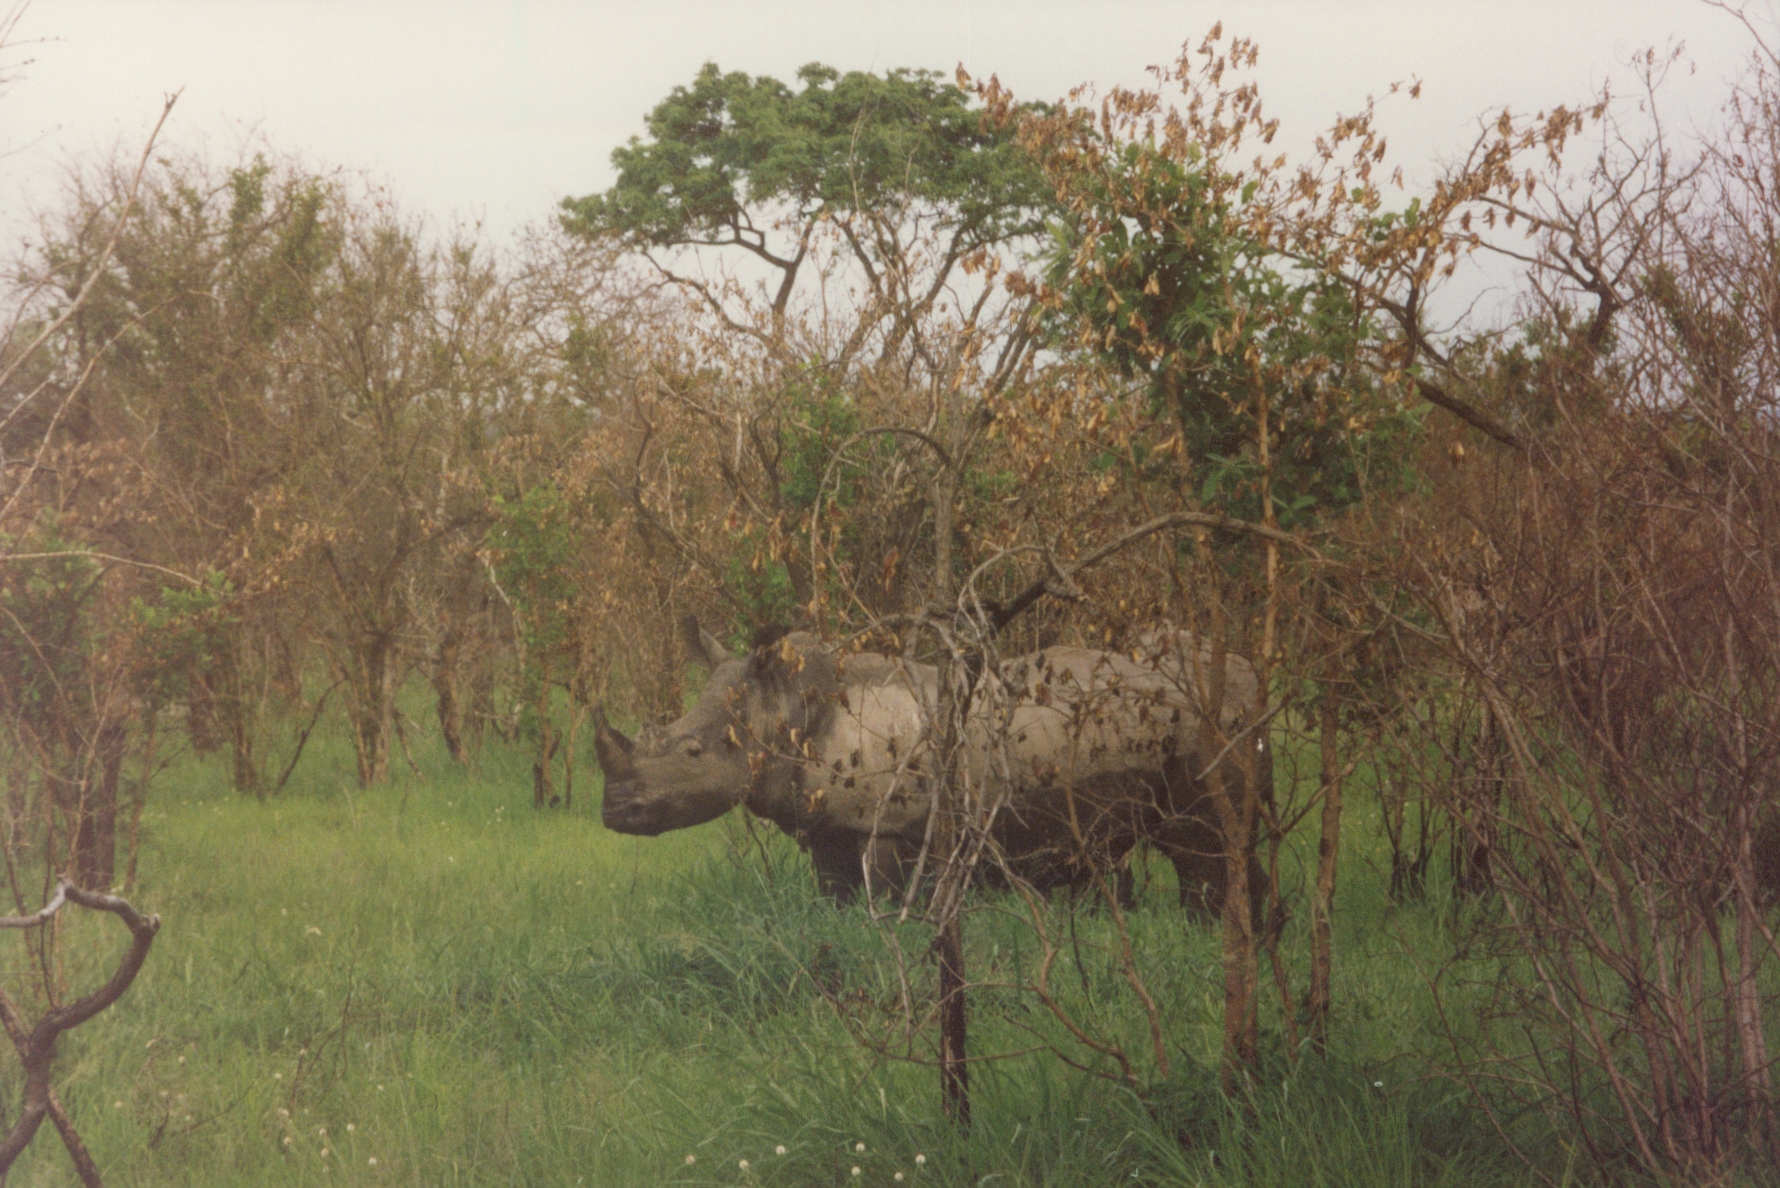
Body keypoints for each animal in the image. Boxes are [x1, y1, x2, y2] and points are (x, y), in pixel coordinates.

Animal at [594, 620, 1272, 914]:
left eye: (692, 754)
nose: (613, 813)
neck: (787, 706)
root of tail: (1249, 676)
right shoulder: (831, 824)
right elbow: (838, 896)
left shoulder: (891, 826)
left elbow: (888, 900)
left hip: (1206, 726)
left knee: (1205, 844)